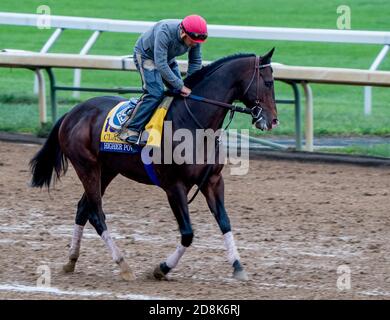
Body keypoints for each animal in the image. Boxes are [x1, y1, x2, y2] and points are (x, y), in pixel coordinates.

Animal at [30, 48, 278, 282]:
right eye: (268, 82)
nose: (273, 120)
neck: (195, 124)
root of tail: (72, 113)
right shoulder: (174, 186)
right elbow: (187, 233)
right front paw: (161, 268)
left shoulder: (213, 180)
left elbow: (225, 222)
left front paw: (238, 266)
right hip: (87, 167)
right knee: (96, 213)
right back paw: (123, 265)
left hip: (107, 170)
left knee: (83, 209)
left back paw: (71, 260)